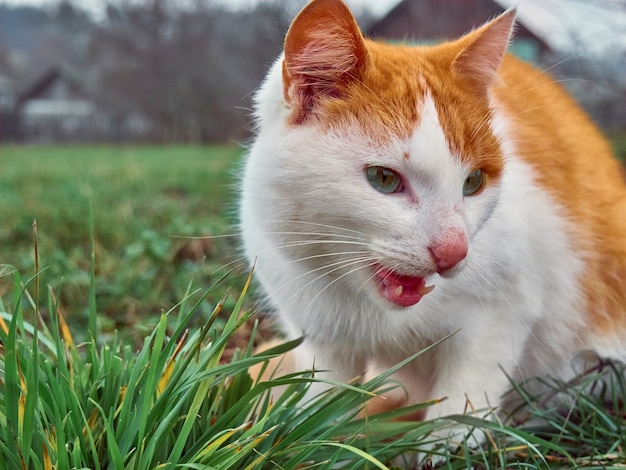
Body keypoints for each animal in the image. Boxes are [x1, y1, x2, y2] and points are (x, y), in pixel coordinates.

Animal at [236, 0, 620, 438]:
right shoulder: (322, 341)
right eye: (383, 179)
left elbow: (464, 402)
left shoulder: (501, 311)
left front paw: (446, 440)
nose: (453, 251)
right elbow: (322, 405)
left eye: (473, 182)